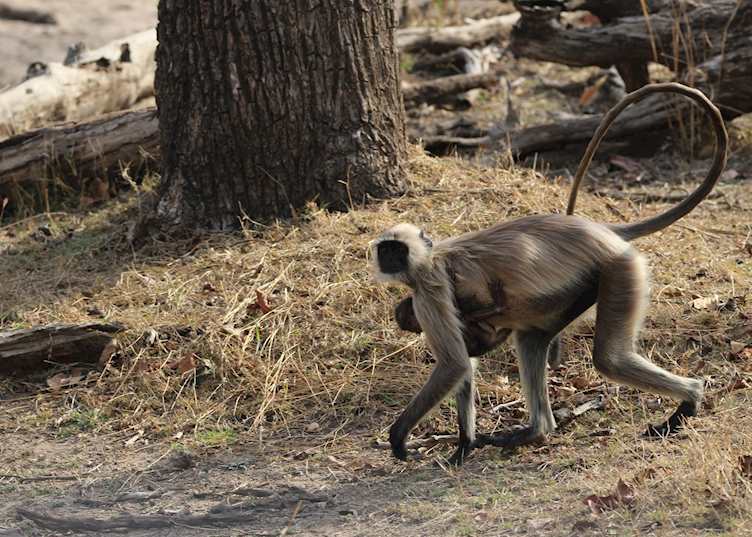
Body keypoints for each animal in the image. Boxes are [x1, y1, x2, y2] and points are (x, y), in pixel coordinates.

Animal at [370, 82, 727, 466]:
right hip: (580, 288)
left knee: (610, 359)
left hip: (621, 270)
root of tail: (601, 231)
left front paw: (399, 437)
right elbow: (466, 363)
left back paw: (690, 397)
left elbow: (454, 364)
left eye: (397, 250)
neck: (430, 254)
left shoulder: (428, 288)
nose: (389, 258)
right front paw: (465, 442)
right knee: (531, 339)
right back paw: (537, 430)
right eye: (386, 249)